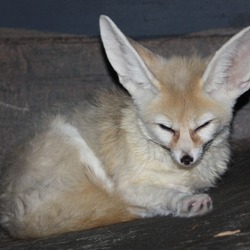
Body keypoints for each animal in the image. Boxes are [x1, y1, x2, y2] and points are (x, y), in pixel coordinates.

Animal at [1, 15, 250, 238]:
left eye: (203, 125)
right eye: (165, 127)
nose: (186, 159)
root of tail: (14, 218)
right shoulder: (126, 185)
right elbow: (159, 194)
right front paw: (183, 202)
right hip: (72, 142)